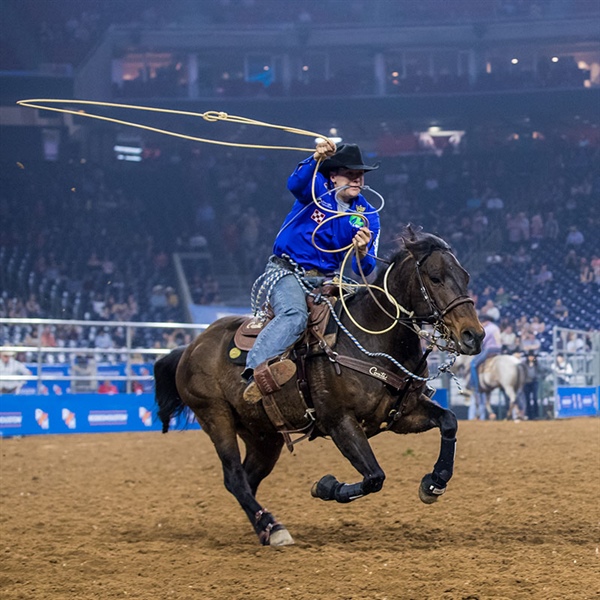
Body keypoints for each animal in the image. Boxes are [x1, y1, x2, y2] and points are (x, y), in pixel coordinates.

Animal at [154, 231, 482, 548]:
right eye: (435, 277)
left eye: (466, 276)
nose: (474, 335)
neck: (372, 342)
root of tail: (190, 347)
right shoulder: (339, 421)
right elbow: (374, 477)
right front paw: (325, 486)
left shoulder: (402, 414)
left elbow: (449, 421)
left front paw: (434, 482)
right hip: (215, 416)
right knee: (234, 477)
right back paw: (274, 529)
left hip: (263, 436)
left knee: (248, 479)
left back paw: (264, 528)